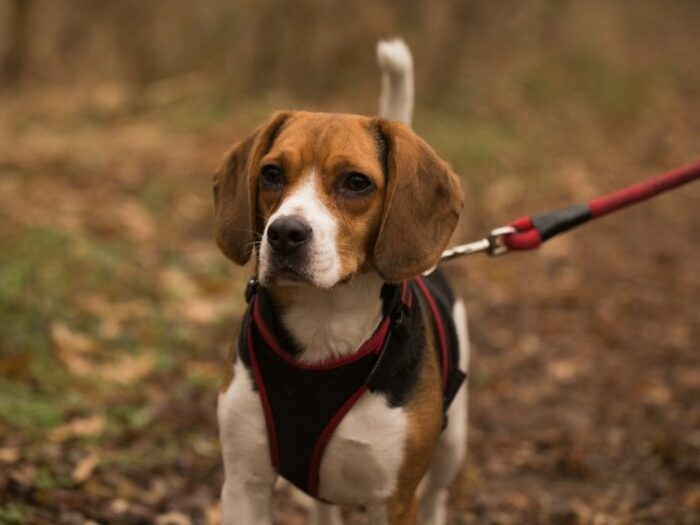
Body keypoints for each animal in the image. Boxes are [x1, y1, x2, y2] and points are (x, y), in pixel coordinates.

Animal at [215, 39, 470, 520]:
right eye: (271, 174)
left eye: (356, 182)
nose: (284, 233)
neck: (323, 324)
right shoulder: (244, 483)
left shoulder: (393, 500)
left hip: (452, 444)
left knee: (437, 495)